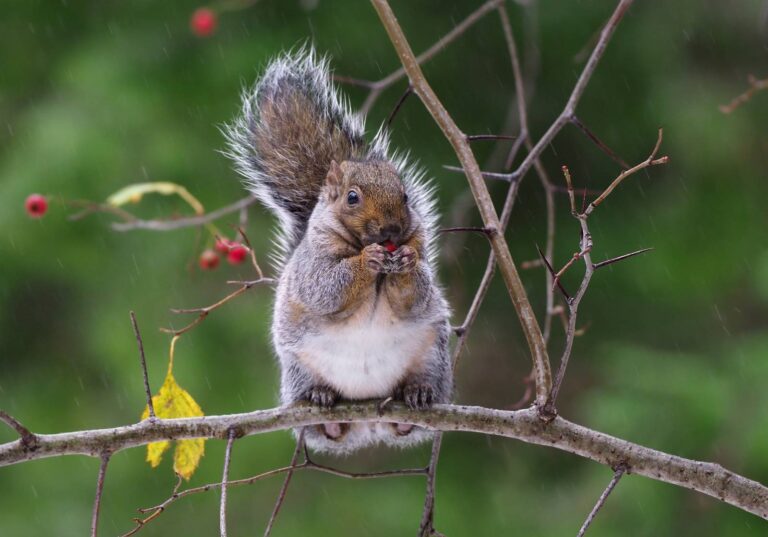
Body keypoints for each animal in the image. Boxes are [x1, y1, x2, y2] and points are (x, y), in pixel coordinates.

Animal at [225, 48, 452, 453]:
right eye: (352, 198)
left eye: (405, 197)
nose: (392, 230)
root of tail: (369, 424)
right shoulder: (313, 266)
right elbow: (326, 288)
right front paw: (366, 260)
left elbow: (416, 295)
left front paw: (406, 264)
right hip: (297, 368)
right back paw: (323, 404)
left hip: (434, 356)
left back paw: (416, 395)